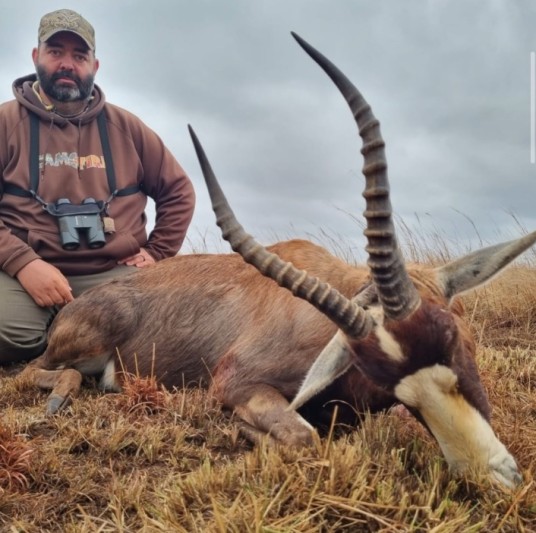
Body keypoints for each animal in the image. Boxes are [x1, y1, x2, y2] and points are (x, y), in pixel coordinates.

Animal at [18, 33, 535, 489]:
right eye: (387, 382)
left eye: (454, 337)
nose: (491, 475)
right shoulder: (236, 384)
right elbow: (306, 439)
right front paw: (245, 431)